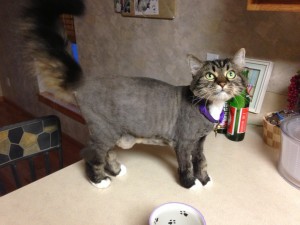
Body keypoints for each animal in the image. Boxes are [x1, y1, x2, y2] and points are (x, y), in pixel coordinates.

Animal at [20, 0, 246, 189]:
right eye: (210, 75)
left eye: (231, 74)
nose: (222, 83)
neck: (211, 108)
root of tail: (86, 81)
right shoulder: (184, 142)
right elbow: (187, 165)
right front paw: (190, 184)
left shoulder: (199, 142)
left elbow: (201, 161)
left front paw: (205, 179)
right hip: (103, 131)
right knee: (90, 154)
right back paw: (99, 180)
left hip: (111, 133)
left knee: (107, 153)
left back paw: (116, 171)